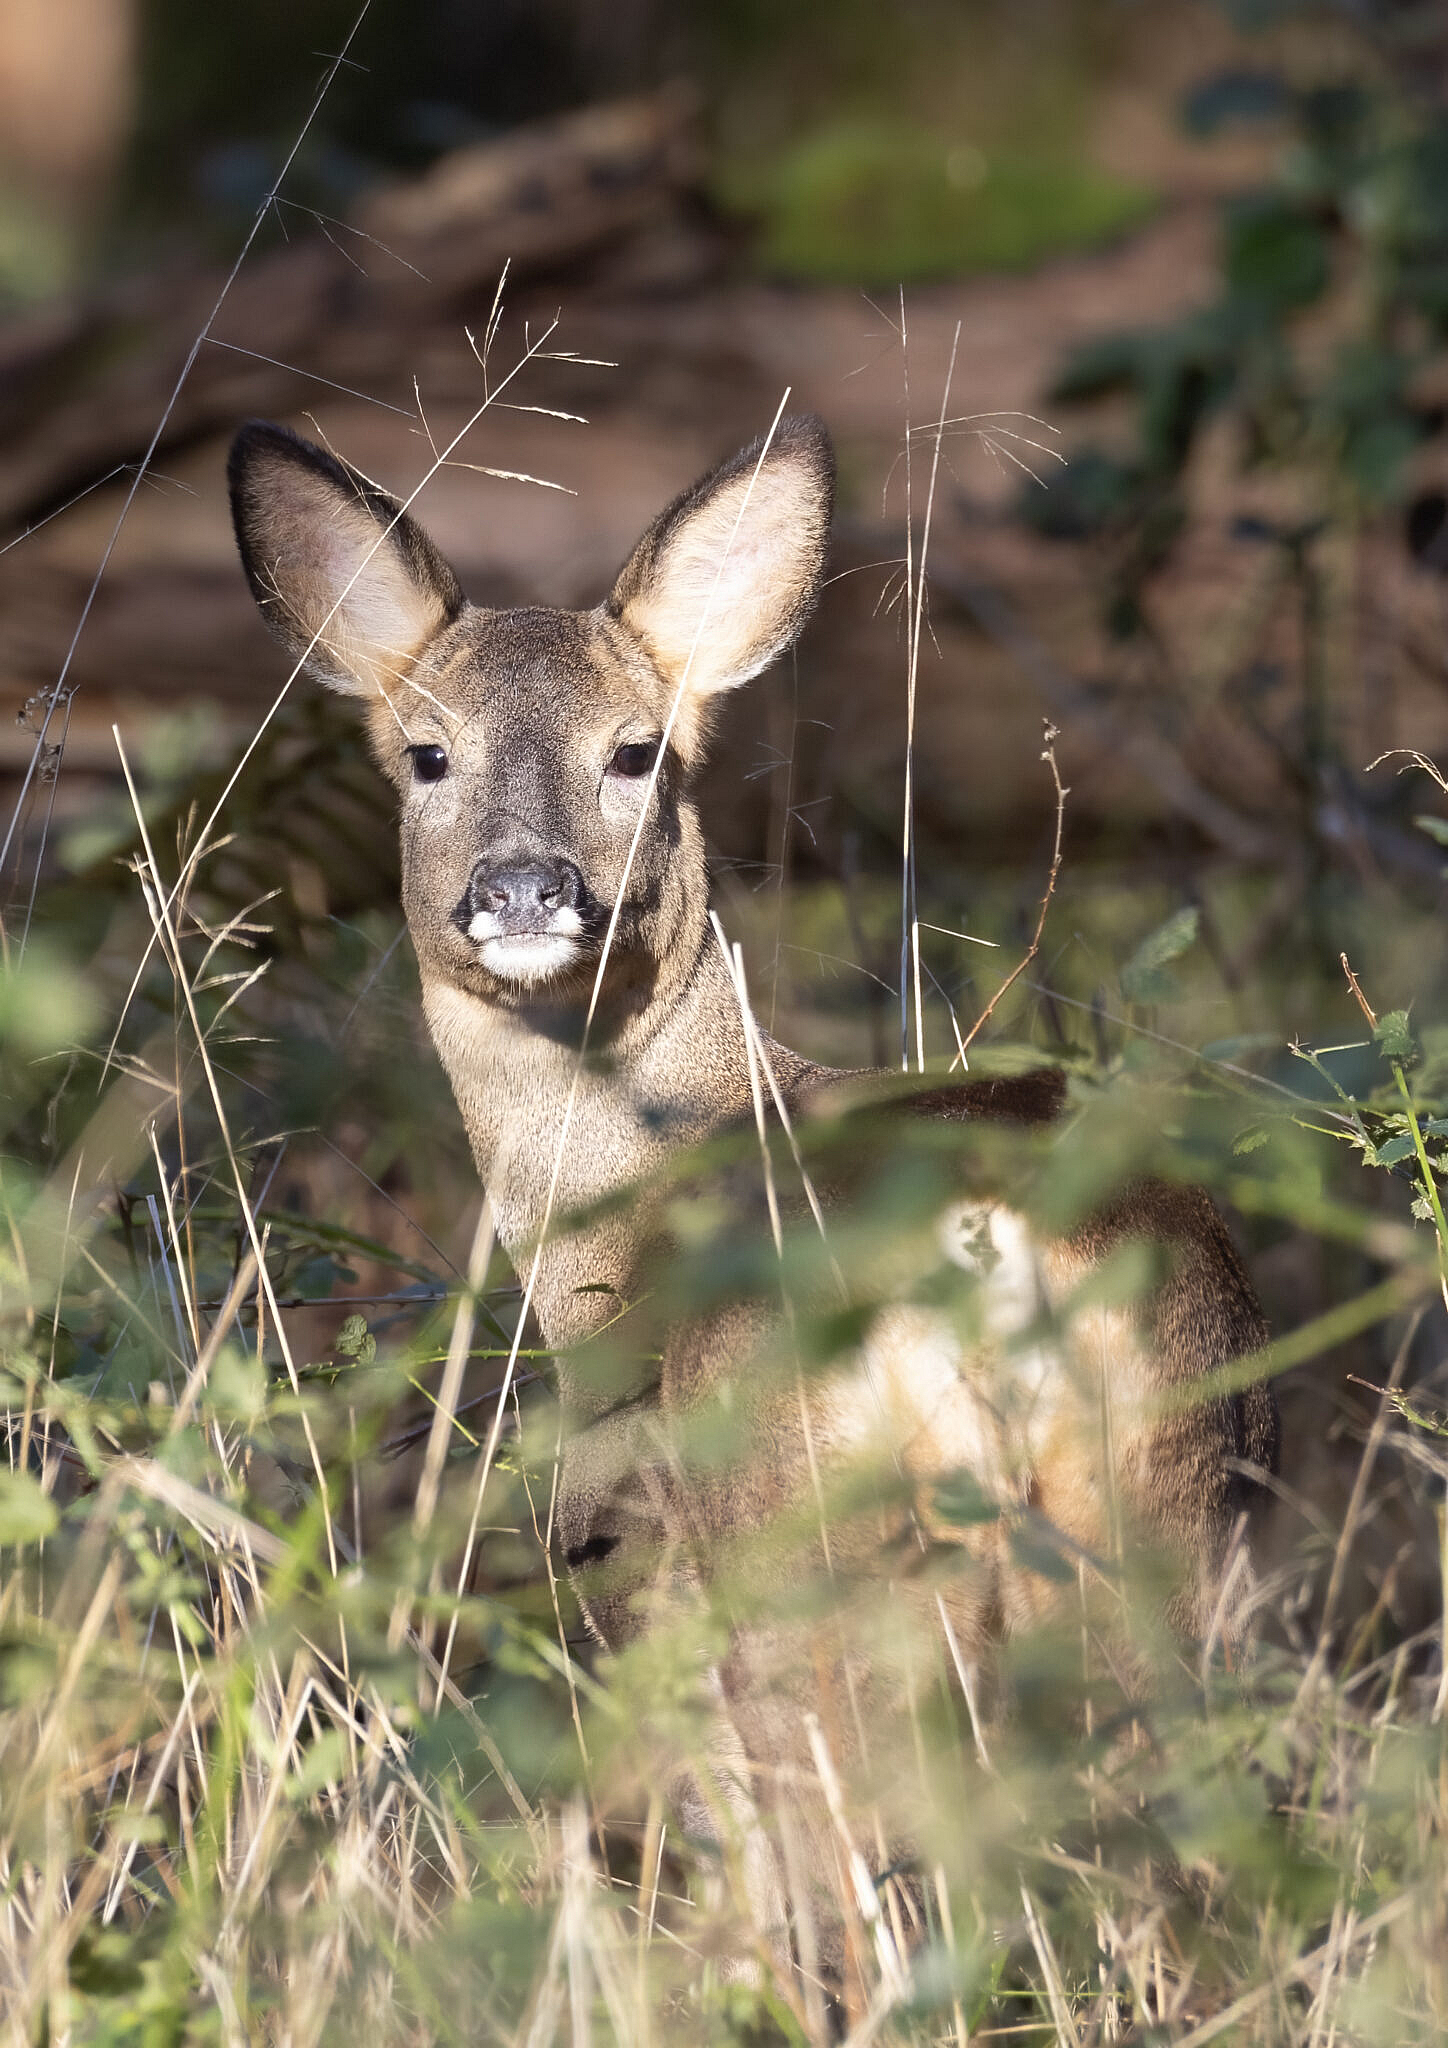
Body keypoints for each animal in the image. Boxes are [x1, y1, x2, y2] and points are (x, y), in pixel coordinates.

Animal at [228, 410, 1278, 1993]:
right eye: (427, 752)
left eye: (635, 749)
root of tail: (1005, 1256)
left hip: (812, 1547)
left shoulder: (646, 1545)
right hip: (1168, 1511)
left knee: (857, 1868)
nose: (523, 886)